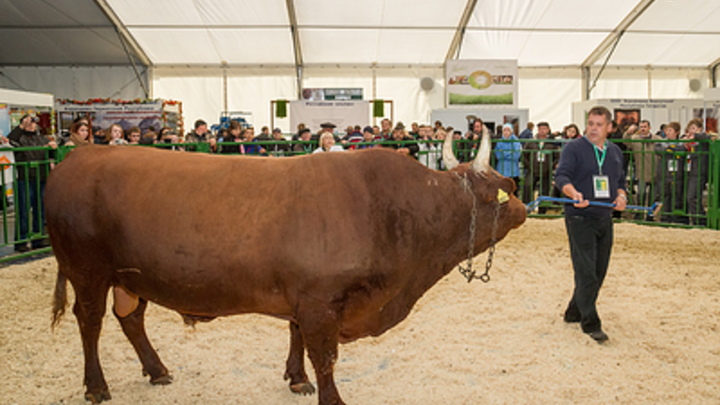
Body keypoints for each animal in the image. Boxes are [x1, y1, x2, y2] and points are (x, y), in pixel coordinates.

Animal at [47, 130, 524, 404]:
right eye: (506, 189)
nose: (522, 208)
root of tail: (78, 156)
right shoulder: (320, 300)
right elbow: (324, 355)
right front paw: (330, 398)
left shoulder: (303, 296)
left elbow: (297, 337)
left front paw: (296, 379)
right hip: (87, 270)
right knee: (90, 322)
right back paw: (97, 386)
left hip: (131, 277)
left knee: (130, 317)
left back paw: (158, 370)